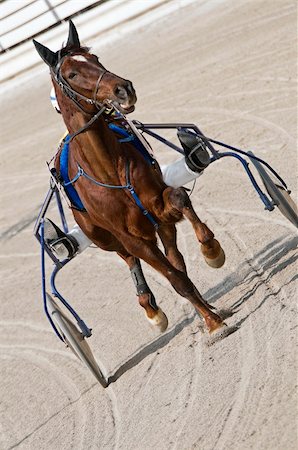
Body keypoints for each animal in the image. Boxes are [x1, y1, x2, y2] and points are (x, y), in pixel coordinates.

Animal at [33, 22, 227, 336]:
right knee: (131, 259)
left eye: (96, 58)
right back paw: (152, 307)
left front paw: (211, 249)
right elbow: (175, 279)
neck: (107, 169)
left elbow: (179, 198)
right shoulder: (129, 237)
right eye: (71, 74)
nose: (123, 89)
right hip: (103, 238)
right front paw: (213, 322)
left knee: (174, 256)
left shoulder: (157, 208)